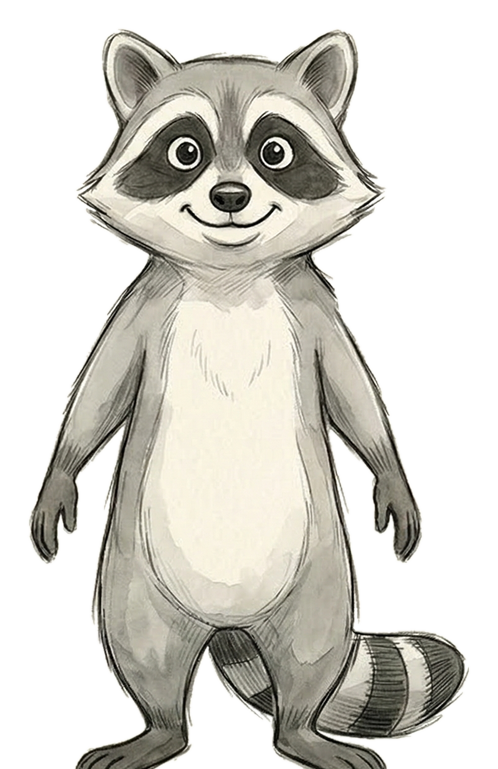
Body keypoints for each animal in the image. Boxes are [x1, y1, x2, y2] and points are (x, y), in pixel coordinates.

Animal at [30, 30, 465, 769]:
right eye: (185, 151)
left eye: (275, 151)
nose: (230, 195)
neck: (229, 277)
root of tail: (228, 623)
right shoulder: (144, 305)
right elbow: (99, 391)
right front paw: (61, 469)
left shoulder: (312, 307)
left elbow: (354, 393)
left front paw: (389, 470)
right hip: (136, 576)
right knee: (140, 645)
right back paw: (159, 727)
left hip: (318, 575)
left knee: (311, 653)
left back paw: (300, 729)